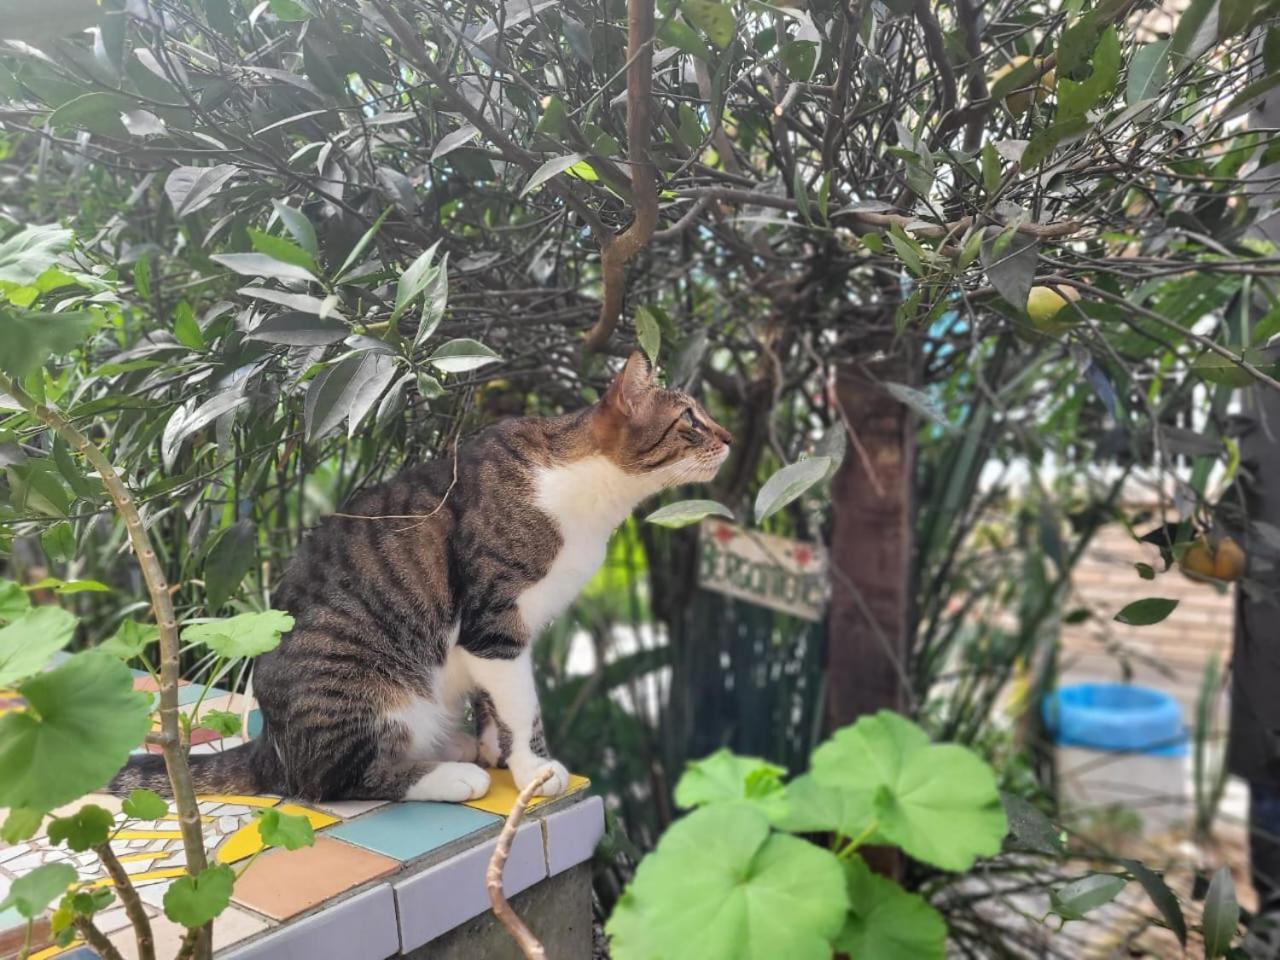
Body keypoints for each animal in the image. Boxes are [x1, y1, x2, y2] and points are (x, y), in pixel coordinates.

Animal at [110, 353, 732, 803]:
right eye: (689, 420)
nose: (728, 437)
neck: (587, 494)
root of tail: (270, 745)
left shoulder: (503, 633)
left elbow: (496, 703)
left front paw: (496, 748)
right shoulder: (495, 620)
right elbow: (522, 704)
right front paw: (534, 766)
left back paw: (454, 749)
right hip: (359, 679)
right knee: (330, 782)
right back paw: (449, 777)